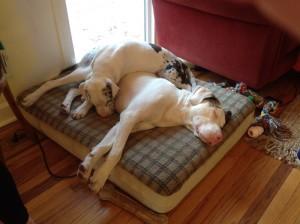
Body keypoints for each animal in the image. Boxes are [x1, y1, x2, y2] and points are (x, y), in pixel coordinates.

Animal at [21, 40, 195, 118]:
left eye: (109, 100)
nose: (105, 115)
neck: (105, 65)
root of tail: (182, 63)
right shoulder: (92, 78)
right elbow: (86, 94)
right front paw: (84, 106)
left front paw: (82, 108)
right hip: (82, 72)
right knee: (57, 84)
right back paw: (32, 98)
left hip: (169, 74)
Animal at [77, 72, 230, 192]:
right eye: (215, 113)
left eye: (222, 126)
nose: (219, 137)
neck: (174, 105)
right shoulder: (129, 116)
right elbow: (116, 153)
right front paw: (100, 177)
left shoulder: (126, 123)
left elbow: (107, 144)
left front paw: (88, 164)